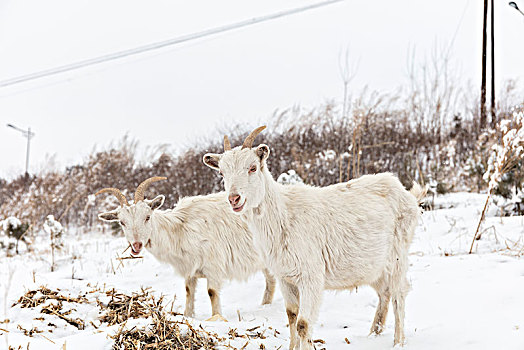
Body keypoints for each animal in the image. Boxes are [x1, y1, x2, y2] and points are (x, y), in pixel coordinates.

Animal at [96, 178, 276, 320]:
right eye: (122, 222)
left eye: (147, 217)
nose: (136, 245)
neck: (180, 229)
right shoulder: (190, 270)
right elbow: (189, 291)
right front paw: (188, 316)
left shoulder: (213, 266)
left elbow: (212, 292)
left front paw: (216, 317)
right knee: (271, 279)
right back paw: (265, 305)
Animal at [203, 128, 428, 348]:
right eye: (222, 172)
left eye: (252, 168)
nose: (234, 199)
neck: (283, 216)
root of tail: (407, 194)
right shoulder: (285, 277)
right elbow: (291, 315)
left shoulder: (311, 276)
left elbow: (303, 324)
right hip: (373, 266)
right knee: (384, 293)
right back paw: (373, 334)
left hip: (397, 256)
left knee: (399, 293)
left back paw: (398, 341)